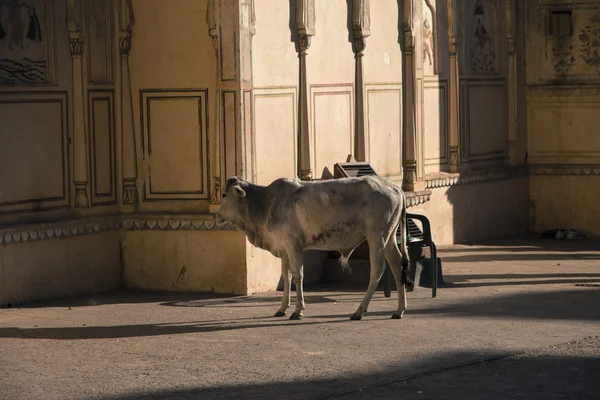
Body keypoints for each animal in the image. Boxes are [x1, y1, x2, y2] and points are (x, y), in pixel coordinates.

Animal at [217, 177, 412, 320]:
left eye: (224, 194)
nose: (217, 215)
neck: (266, 203)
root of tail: (395, 188)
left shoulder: (293, 245)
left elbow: (298, 276)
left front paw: (298, 310)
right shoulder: (284, 248)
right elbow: (287, 277)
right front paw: (282, 308)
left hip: (377, 237)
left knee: (377, 270)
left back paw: (359, 311)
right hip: (389, 238)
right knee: (397, 266)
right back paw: (399, 310)